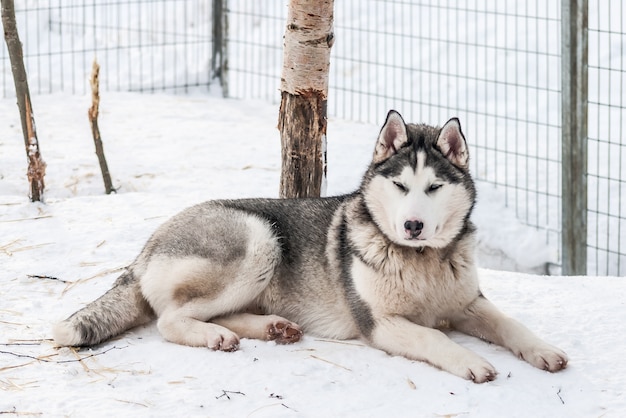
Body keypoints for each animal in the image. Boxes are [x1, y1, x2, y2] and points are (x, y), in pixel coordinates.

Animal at [56, 111, 568, 382]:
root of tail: (145, 249)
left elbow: (511, 324)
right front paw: (471, 361)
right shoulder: (380, 323)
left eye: (435, 187)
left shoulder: (469, 303)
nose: (413, 225)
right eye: (401, 186)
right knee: (170, 319)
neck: (420, 261)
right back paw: (216, 336)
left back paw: (272, 328)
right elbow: (434, 336)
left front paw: (544, 350)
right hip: (260, 238)